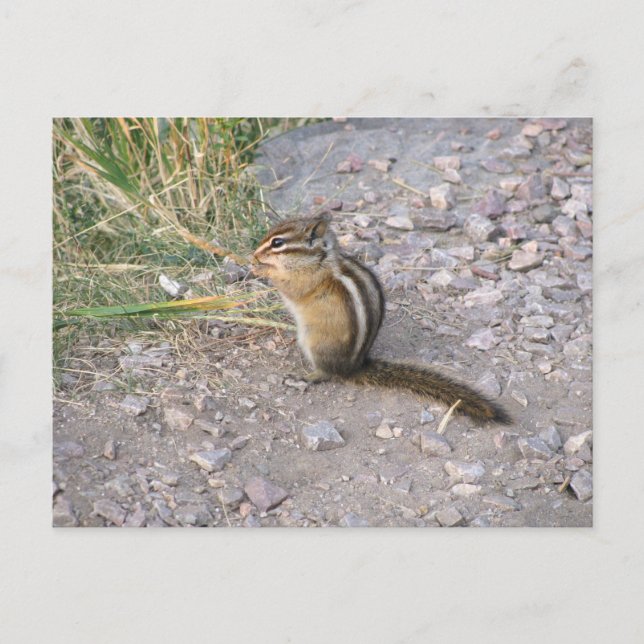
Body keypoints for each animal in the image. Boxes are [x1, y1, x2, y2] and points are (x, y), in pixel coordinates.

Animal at [251, 214, 511, 425]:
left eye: (277, 243)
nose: (254, 254)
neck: (320, 259)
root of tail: (353, 368)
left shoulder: (305, 280)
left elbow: (289, 286)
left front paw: (261, 269)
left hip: (313, 342)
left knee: (327, 374)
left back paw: (305, 376)